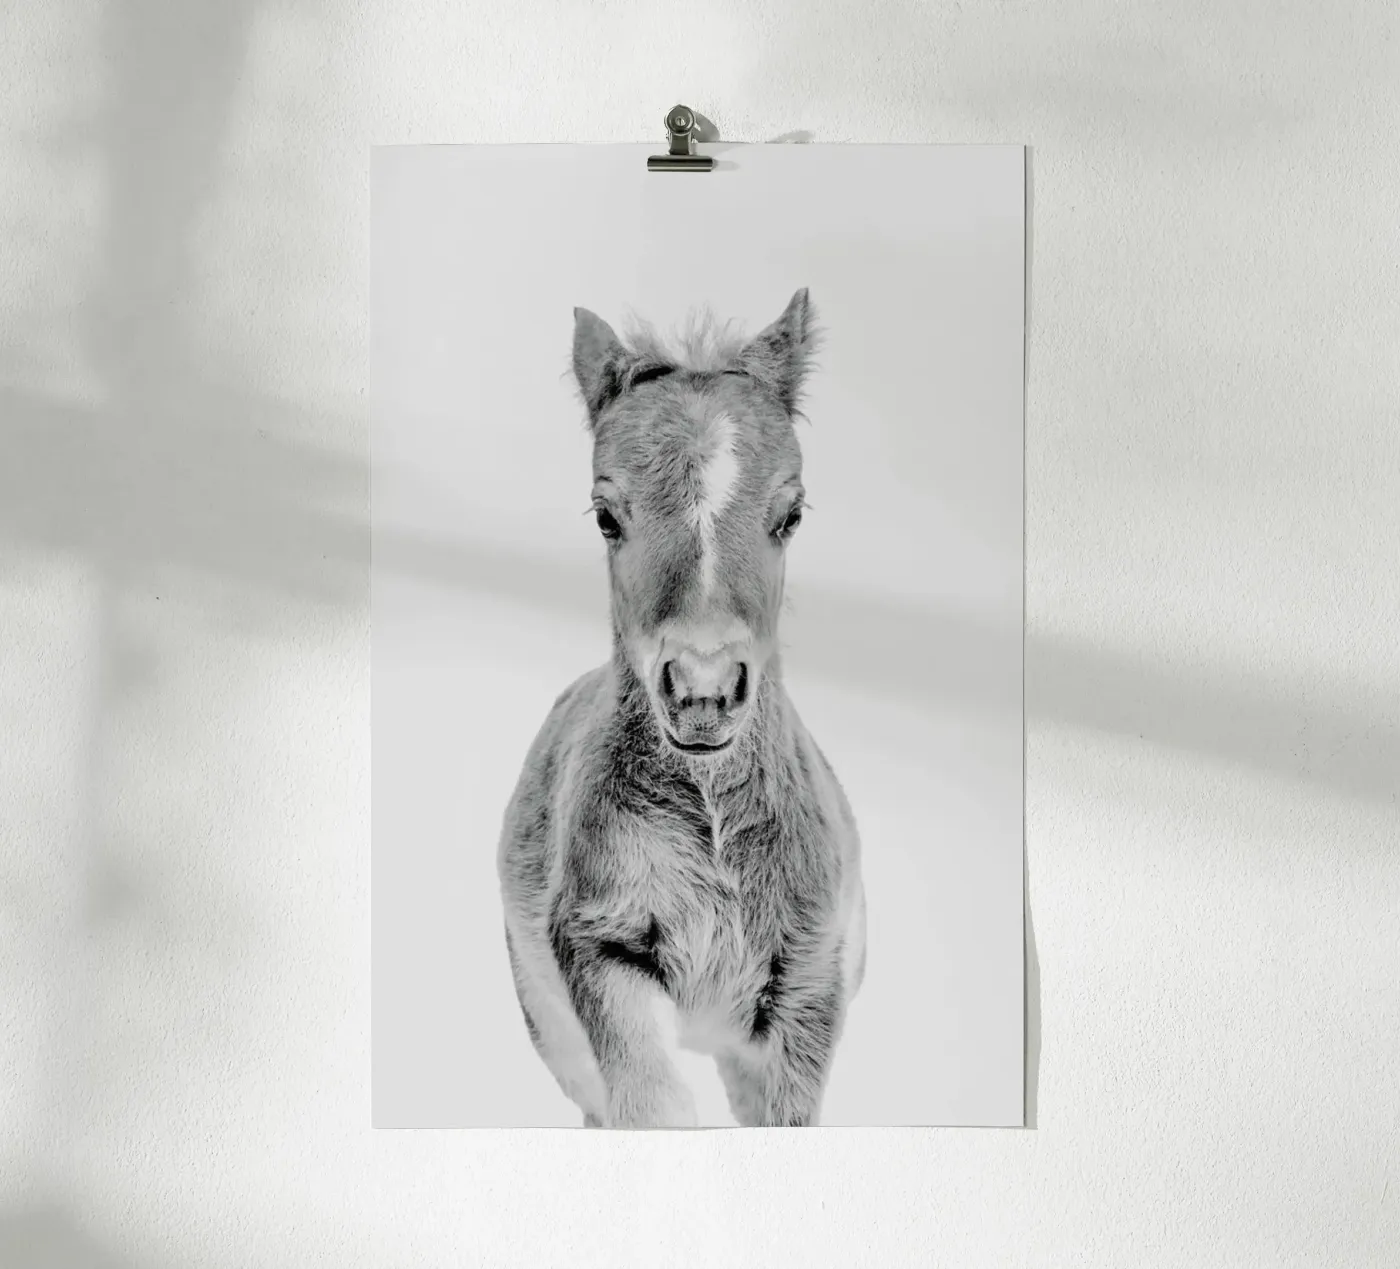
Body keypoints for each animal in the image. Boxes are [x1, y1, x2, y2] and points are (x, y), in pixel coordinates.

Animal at [496, 288, 866, 1128]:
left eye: (791, 513)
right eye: (606, 515)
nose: (702, 692)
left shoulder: (809, 992)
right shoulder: (600, 952)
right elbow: (652, 1108)